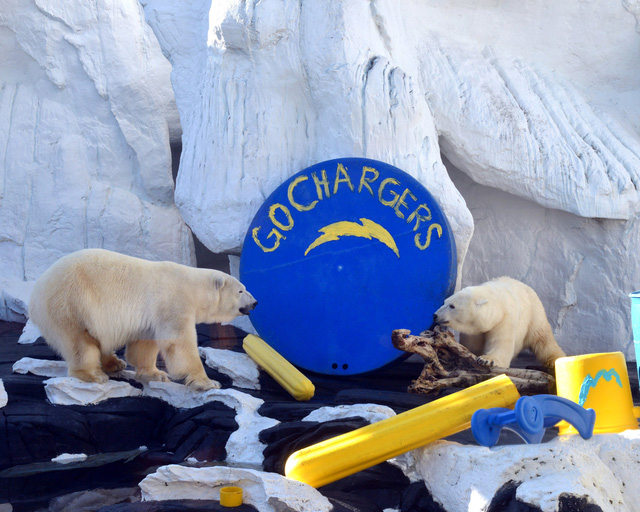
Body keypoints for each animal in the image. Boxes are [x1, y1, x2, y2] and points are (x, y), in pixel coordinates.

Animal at [28, 248, 258, 390]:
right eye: (241, 290)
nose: (255, 302)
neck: (192, 287)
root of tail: (36, 291)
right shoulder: (173, 302)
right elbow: (179, 343)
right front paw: (208, 382)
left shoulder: (151, 317)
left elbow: (144, 343)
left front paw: (154, 374)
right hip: (71, 303)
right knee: (80, 342)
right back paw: (93, 374)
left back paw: (115, 363)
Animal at [432, 276, 565, 368]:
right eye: (444, 302)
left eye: (452, 306)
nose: (435, 315)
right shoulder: (474, 331)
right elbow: (472, 345)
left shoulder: (505, 319)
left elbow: (500, 343)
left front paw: (486, 359)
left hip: (534, 314)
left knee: (542, 338)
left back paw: (555, 359)